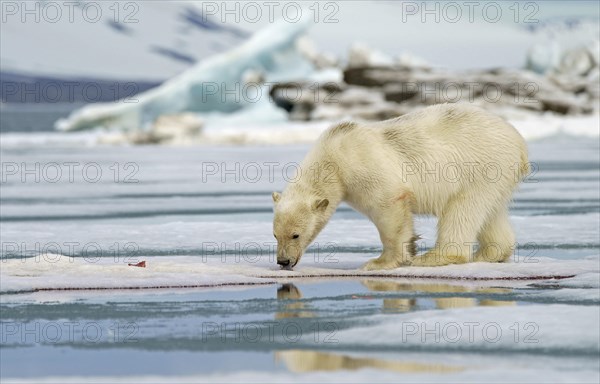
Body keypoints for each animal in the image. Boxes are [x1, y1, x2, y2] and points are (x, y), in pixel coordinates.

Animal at [272, 103, 528, 270]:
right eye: (275, 235)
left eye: (295, 235)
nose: (283, 261)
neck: (334, 157)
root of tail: (519, 142)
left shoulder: (364, 167)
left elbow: (388, 206)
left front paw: (379, 262)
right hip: (496, 176)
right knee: (490, 211)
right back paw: (489, 254)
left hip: (481, 166)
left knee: (462, 209)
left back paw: (434, 257)